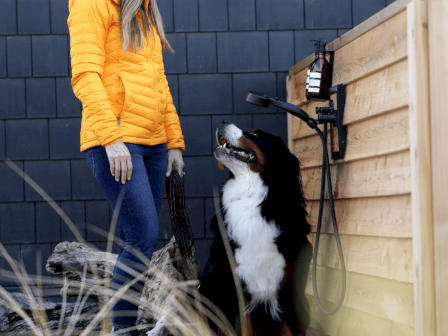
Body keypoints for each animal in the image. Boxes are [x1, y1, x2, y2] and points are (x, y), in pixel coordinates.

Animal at [200, 121, 312, 336]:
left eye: (256, 134)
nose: (222, 122)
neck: (249, 200)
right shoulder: (234, 286)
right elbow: (245, 329)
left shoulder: (291, 288)